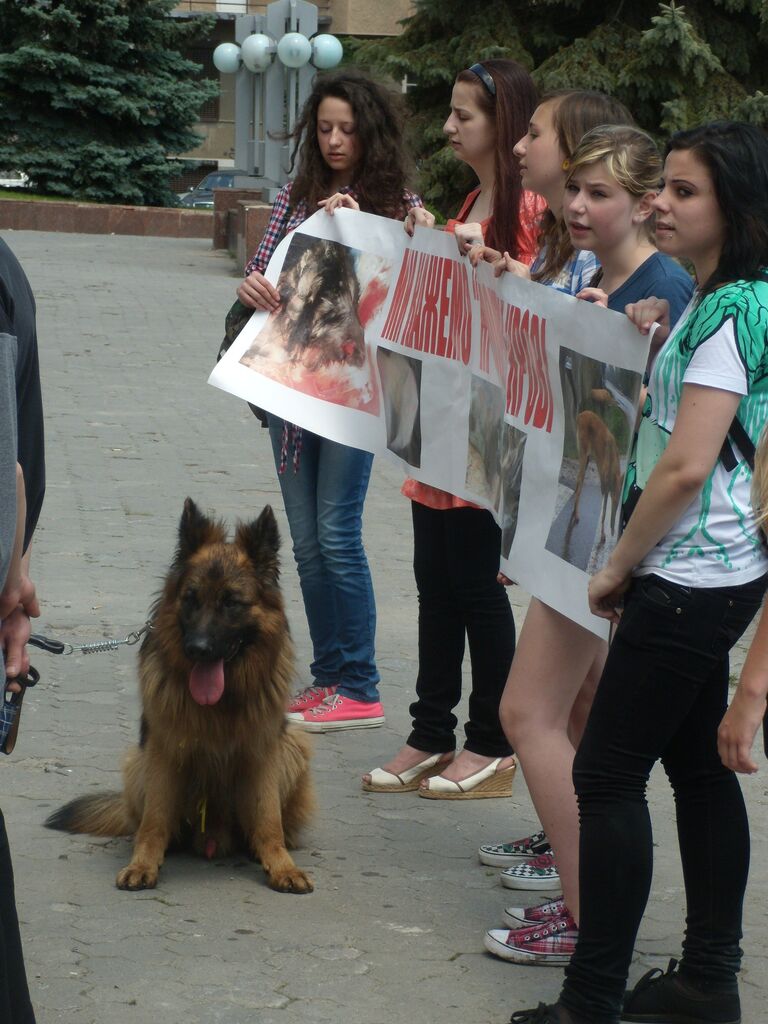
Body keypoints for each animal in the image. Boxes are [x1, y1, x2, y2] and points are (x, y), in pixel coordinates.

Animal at [45, 499, 315, 892]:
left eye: (231, 603)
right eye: (191, 599)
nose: (197, 649)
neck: (220, 704)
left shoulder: (263, 751)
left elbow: (268, 820)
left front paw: (281, 866)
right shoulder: (163, 751)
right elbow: (155, 821)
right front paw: (143, 863)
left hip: (294, 745)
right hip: (136, 763)